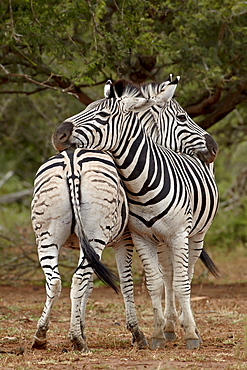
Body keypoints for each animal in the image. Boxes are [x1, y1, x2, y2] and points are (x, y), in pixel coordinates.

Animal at [53, 78, 219, 350]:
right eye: (183, 118)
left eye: (103, 114)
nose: (58, 135)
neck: (144, 183)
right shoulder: (143, 237)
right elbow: (155, 283)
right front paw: (158, 333)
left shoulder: (179, 235)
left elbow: (182, 283)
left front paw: (191, 335)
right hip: (163, 240)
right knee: (169, 274)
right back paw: (171, 326)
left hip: (196, 235)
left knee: (187, 274)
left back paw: (188, 325)